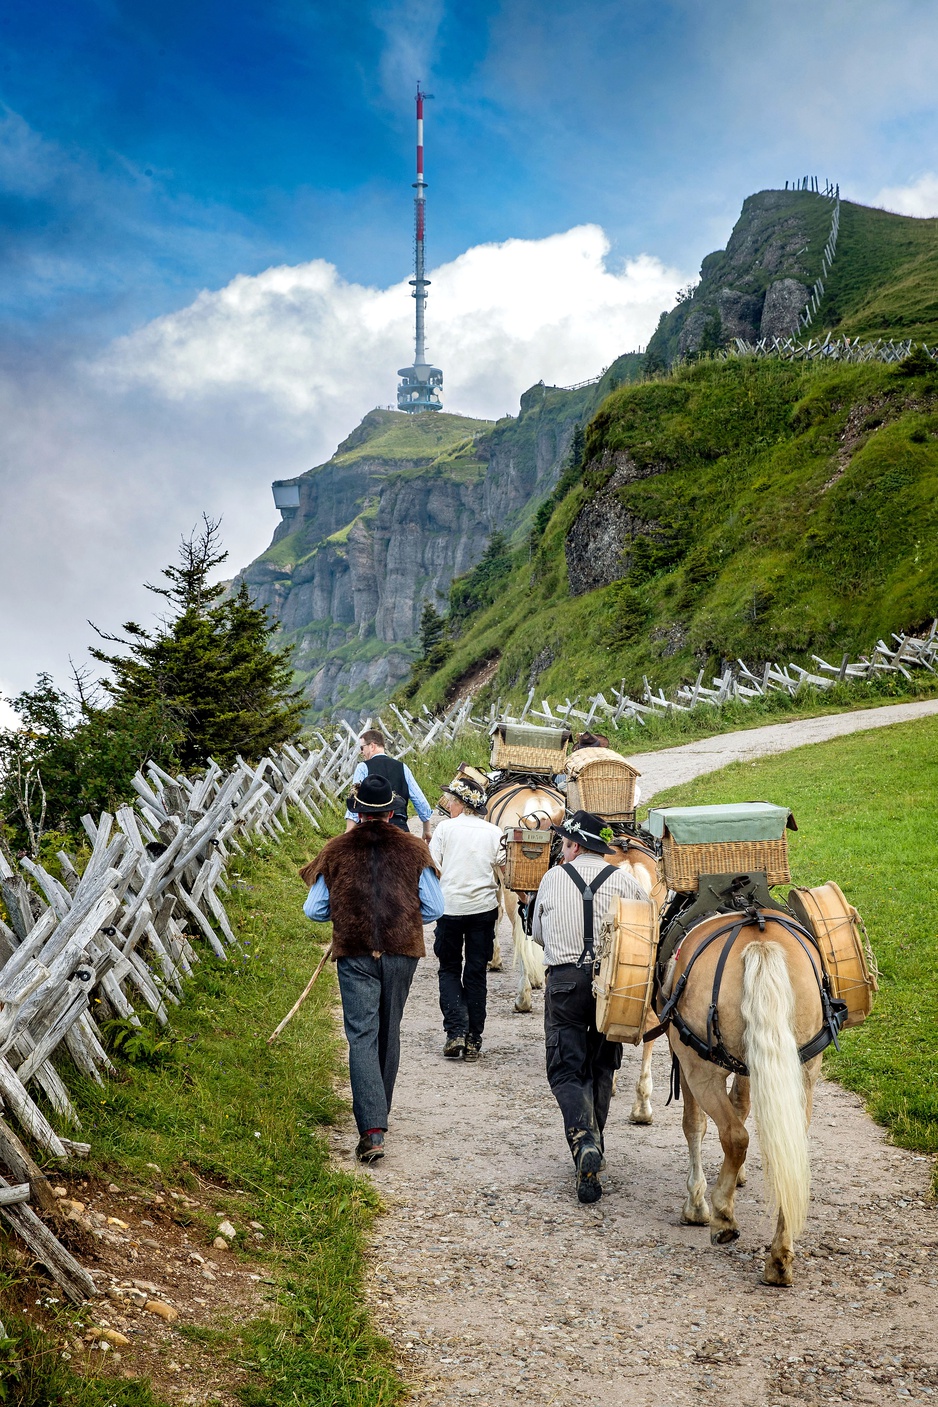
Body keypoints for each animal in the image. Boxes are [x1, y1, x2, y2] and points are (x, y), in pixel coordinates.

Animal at [658, 900, 832, 1288]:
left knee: (734, 1136)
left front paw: (697, 1205)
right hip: (801, 1072)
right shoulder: (754, 1066)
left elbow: (696, 1126)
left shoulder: (687, 1063)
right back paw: (779, 1258)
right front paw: (734, 1179)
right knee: (788, 1151)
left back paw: (722, 1216)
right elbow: (741, 1106)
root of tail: (761, 943)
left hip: (701, 1070)